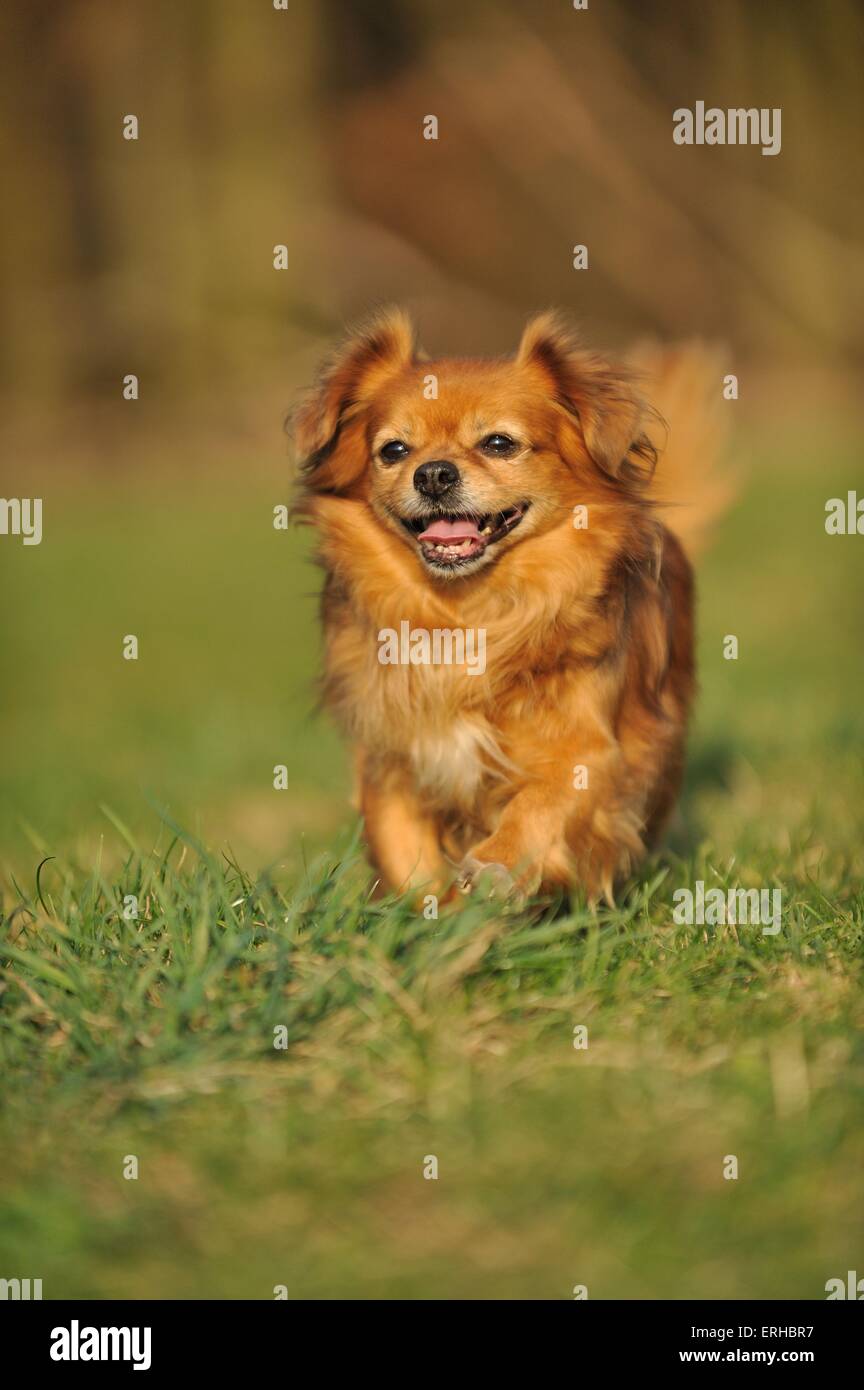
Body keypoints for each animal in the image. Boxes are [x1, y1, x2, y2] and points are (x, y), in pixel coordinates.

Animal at [295, 309, 733, 906]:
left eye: (499, 443)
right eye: (393, 451)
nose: (433, 473)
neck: (468, 614)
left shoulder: (592, 749)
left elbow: (542, 802)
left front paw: (497, 865)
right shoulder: (393, 758)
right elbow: (402, 846)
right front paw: (424, 915)